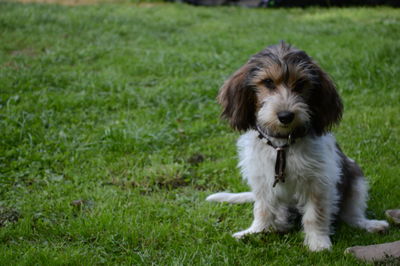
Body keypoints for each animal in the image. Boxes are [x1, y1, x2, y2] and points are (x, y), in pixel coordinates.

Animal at [208, 41, 390, 251]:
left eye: (301, 83)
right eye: (268, 82)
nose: (285, 116)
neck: (282, 144)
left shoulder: (319, 182)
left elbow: (315, 215)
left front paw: (318, 243)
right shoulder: (261, 180)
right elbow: (262, 210)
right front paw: (256, 231)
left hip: (355, 179)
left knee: (351, 215)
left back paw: (369, 224)